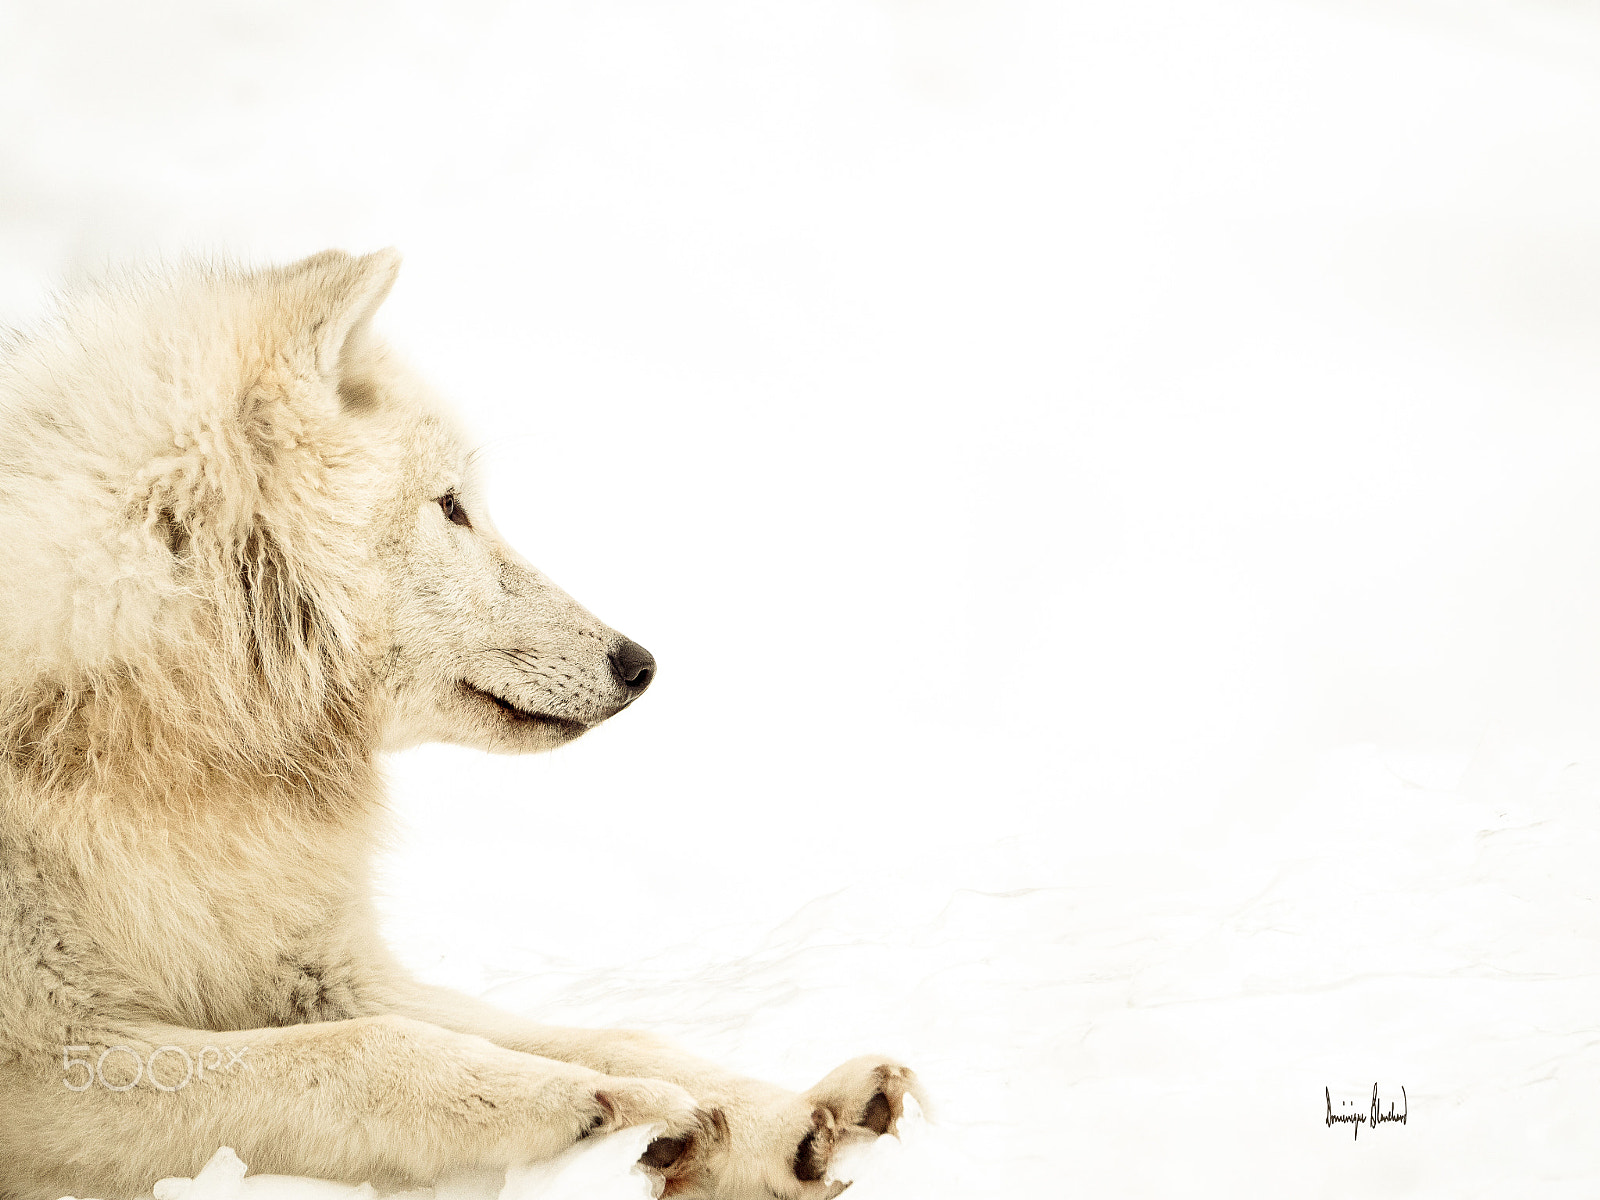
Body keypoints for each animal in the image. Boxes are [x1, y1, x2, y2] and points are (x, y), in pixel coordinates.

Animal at [0, 250, 920, 1200]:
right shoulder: (45, 1064)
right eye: (451, 506)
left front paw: (784, 1121)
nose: (639, 665)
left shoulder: (322, 969)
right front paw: (603, 1110)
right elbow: (365, 1052)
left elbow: (612, 1035)